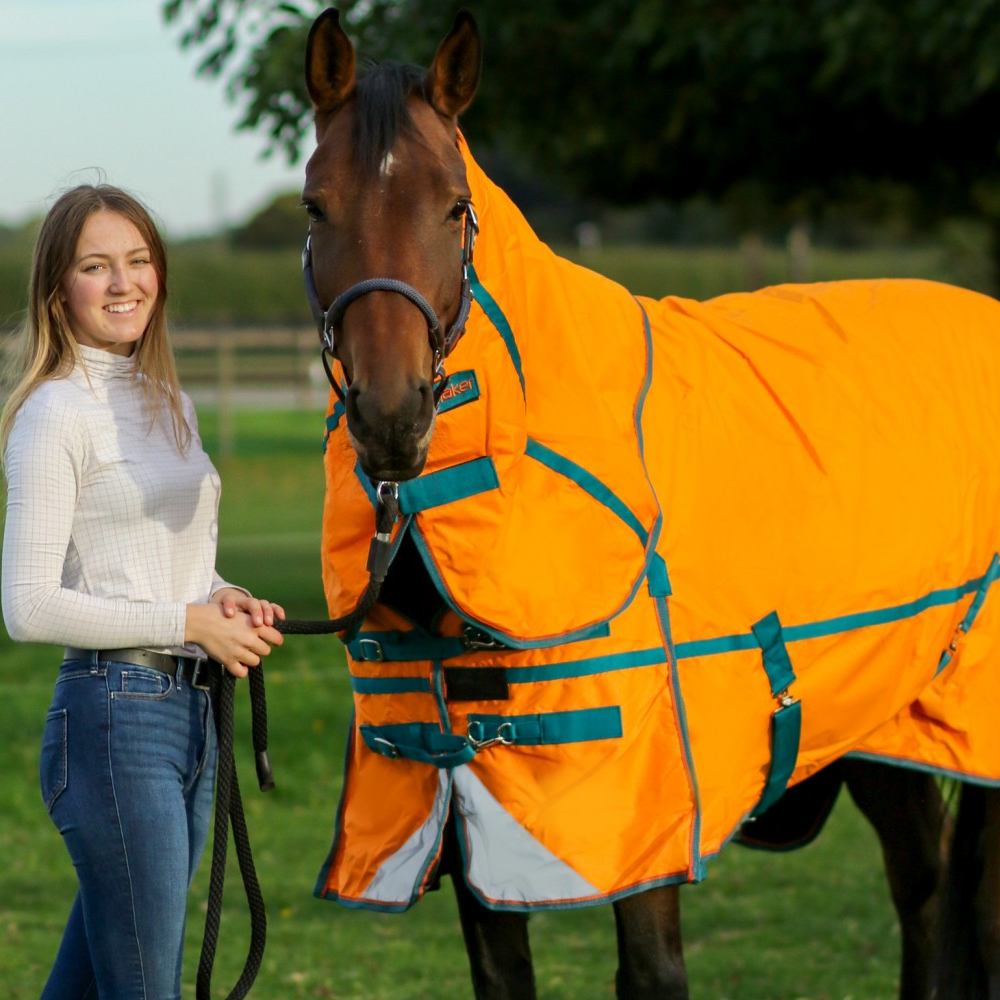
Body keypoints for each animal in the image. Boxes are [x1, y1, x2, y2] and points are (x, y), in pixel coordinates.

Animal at [296, 9, 1000, 1000]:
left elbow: (653, 972)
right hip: (881, 722)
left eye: (455, 205)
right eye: (316, 207)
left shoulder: (641, 824)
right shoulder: (470, 811)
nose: (394, 415)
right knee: (929, 890)